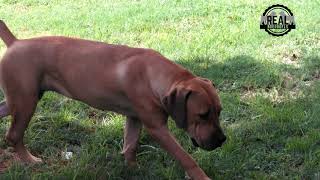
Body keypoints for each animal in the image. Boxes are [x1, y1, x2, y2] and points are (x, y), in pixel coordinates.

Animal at [0, 20, 225, 179]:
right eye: (202, 115)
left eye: (219, 112)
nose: (222, 140)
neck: (155, 76)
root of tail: (15, 41)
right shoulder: (158, 128)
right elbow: (185, 157)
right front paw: (202, 177)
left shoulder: (134, 118)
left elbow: (131, 145)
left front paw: (133, 169)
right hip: (25, 102)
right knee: (13, 135)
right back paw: (30, 161)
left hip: (17, 101)